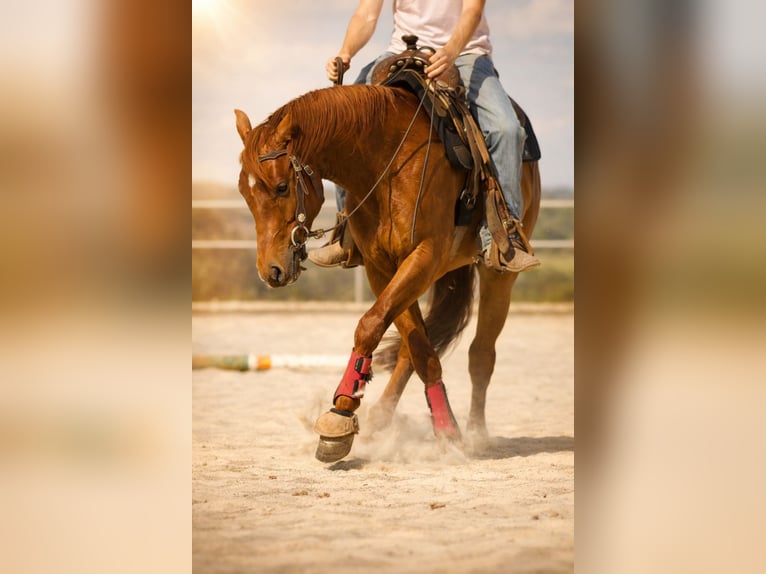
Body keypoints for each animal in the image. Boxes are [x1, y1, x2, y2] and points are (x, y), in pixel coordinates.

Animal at [234, 83, 541, 462]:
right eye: (244, 191)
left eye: (281, 186)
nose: (271, 269)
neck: (387, 165)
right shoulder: (383, 269)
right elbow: (415, 347)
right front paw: (440, 428)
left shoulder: (423, 257)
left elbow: (369, 327)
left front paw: (340, 415)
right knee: (414, 348)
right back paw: (381, 418)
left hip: (497, 275)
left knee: (482, 354)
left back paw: (477, 435)